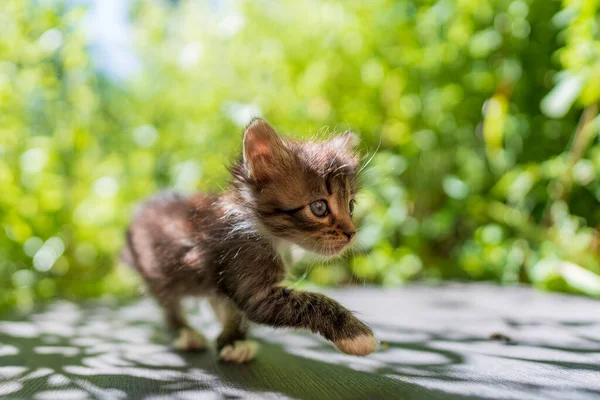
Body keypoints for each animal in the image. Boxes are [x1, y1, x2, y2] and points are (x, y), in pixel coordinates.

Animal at [121, 118, 376, 362]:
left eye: (351, 206)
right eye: (319, 207)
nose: (352, 233)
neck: (274, 238)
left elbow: (233, 310)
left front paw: (233, 339)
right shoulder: (251, 285)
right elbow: (309, 301)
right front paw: (356, 334)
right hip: (157, 273)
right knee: (169, 304)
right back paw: (185, 332)